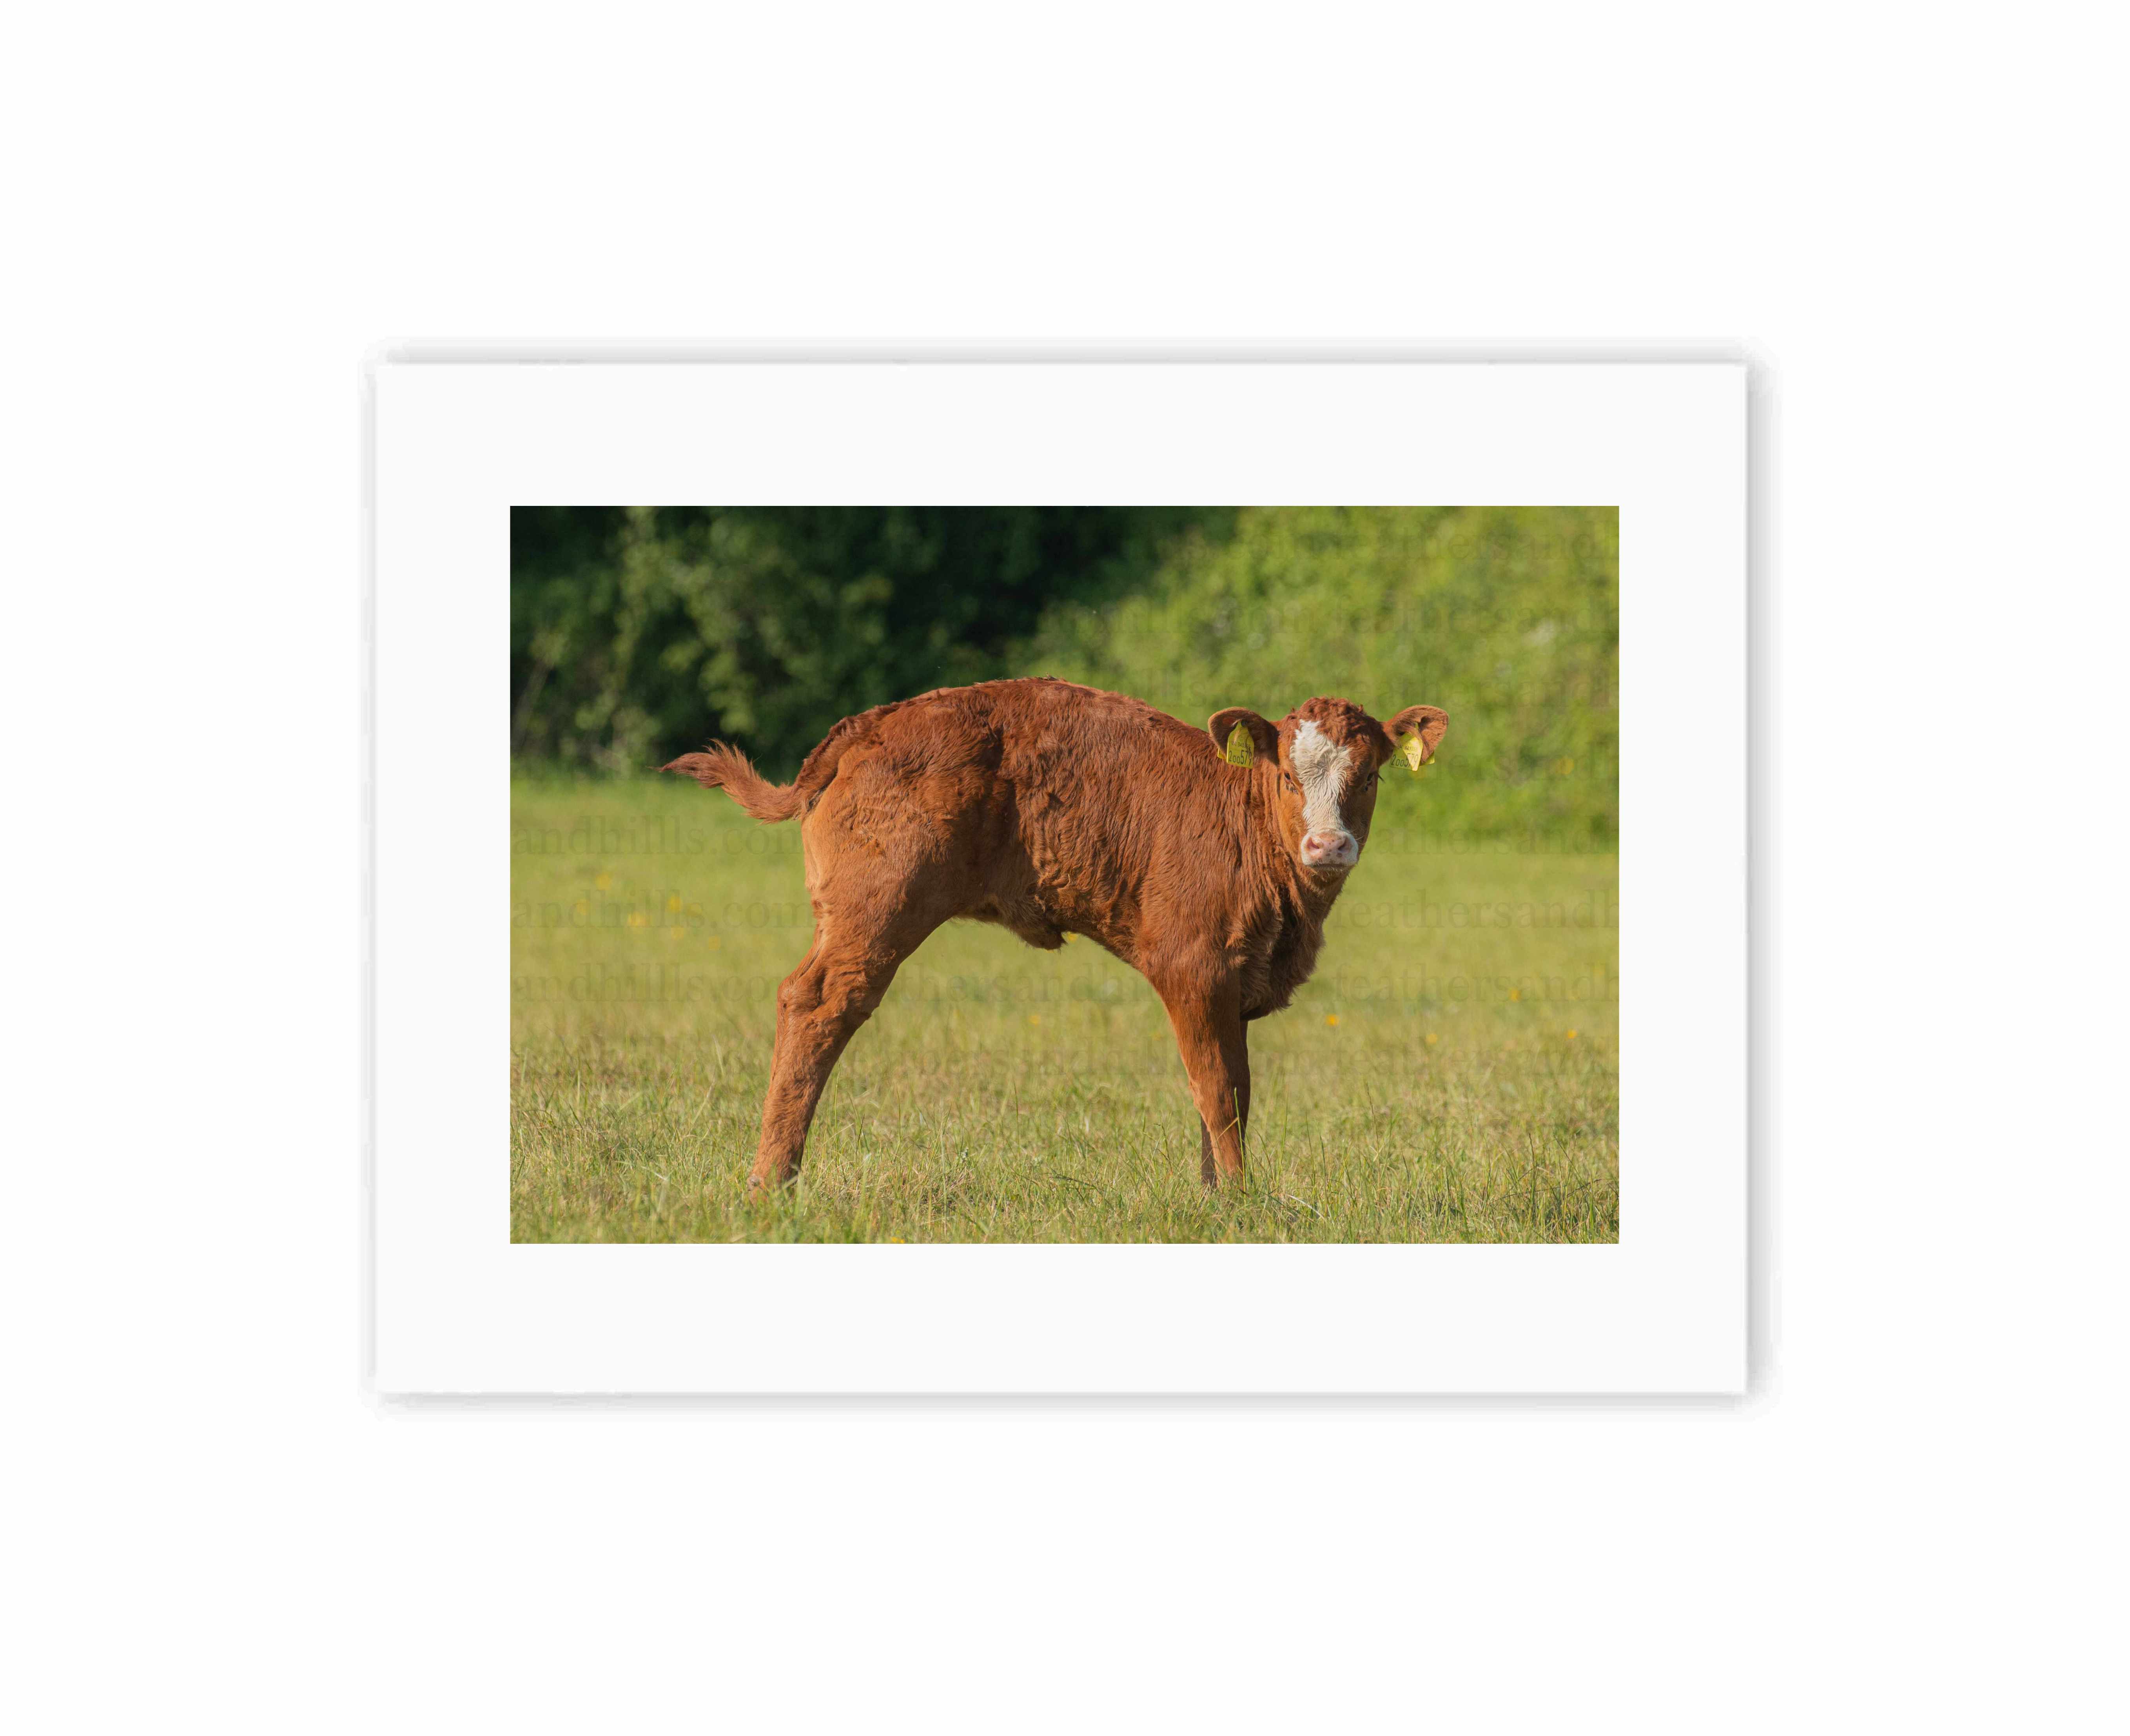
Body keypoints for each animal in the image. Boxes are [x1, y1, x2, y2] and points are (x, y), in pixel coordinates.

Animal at [662, 677, 1448, 1190]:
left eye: (1370, 776)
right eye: (1287, 776)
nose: (1327, 846)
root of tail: (875, 721)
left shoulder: (1233, 987)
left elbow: (1232, 1091)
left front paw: (1215, 1198)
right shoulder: (1190, 968)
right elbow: (1217, 1092)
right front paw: (1241, 1201)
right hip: (874, 909)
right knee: (818, 1004)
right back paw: (772, 1181)